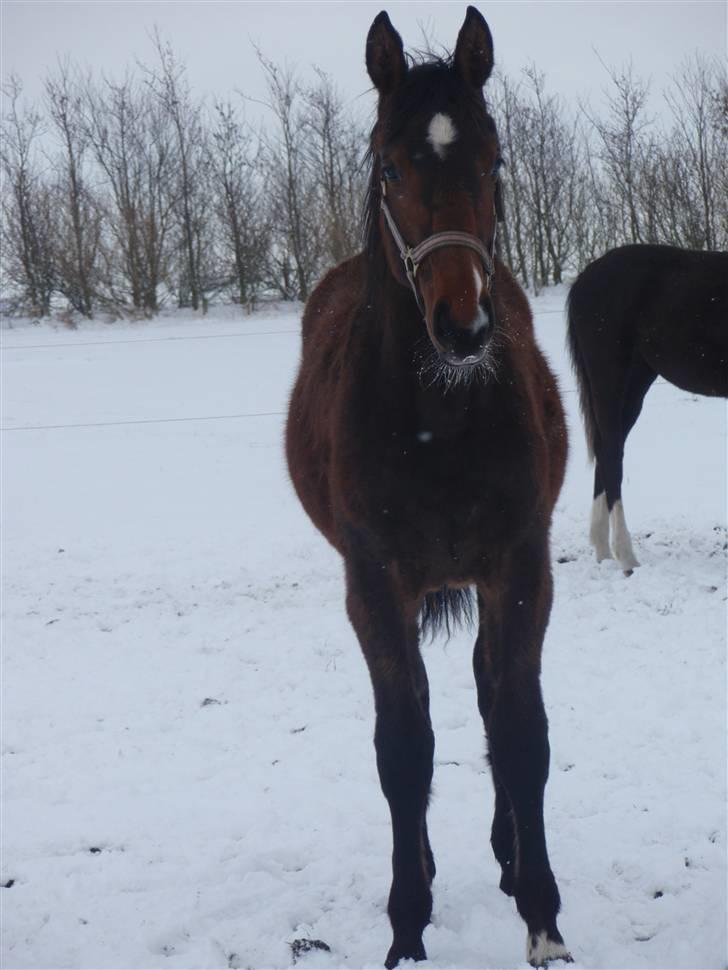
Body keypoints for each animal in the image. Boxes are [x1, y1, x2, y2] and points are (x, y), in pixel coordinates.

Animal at [288, 5, 572, 960]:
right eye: (391, 165)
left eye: (494, 158)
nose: (464, 325)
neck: (438, 417)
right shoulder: (375, 582)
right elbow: (403, 747)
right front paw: (407, 926)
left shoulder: (519, 565)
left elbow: (519, 731)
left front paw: (543, 921)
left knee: (486, 691)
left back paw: (506, 855)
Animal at [568, 246, 728, 572]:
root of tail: (583, 280)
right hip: (610, 380)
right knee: (611, 455)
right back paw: (625, 555)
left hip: (635, 384)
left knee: (606, 448)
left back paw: (602, 550)